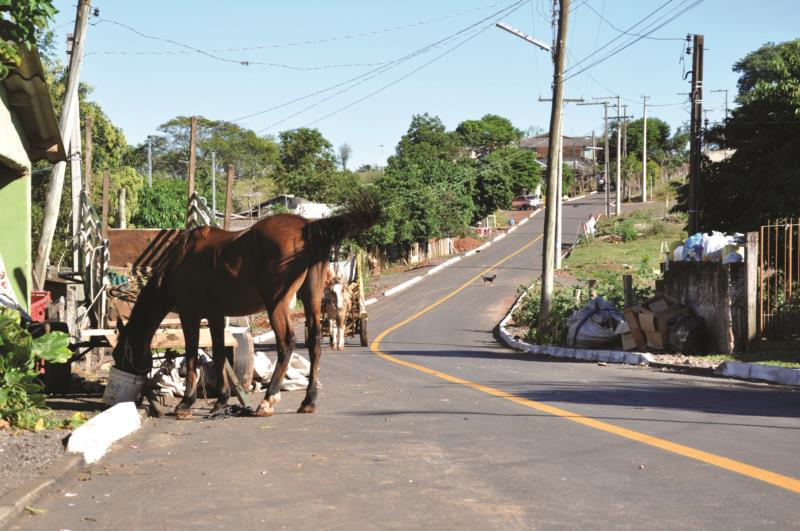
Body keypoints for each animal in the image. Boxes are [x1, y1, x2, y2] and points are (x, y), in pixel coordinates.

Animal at [110, 195, 382, 420]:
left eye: (120, 354)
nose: (135, 394)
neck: (179, 260)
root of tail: (307, 227)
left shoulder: (191, 314)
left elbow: (191, 355)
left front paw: (185, 404)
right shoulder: (215, 315)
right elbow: (219, 353)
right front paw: (220, 401)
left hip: (277, 304)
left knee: (287, 343)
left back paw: (267, 401)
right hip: (312, 297)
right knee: (314, 340)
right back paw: (308, 401)